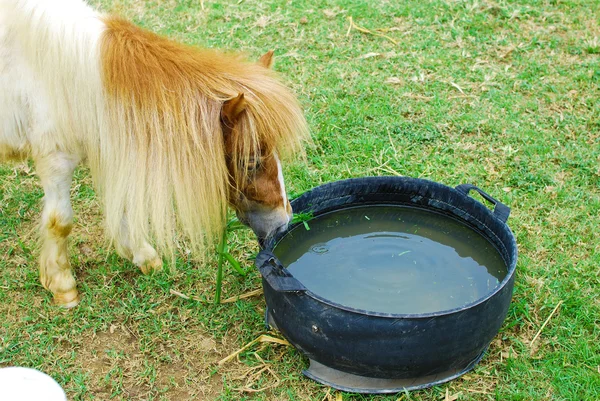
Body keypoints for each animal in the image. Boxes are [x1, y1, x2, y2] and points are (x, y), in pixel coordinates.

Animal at [0, 0, 310, 306]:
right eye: (251, 161)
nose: (284, 222)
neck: (67, 76)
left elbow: (122, 207)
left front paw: (142, 256)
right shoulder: (55, 159)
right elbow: (59, 222)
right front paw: (63, 285)